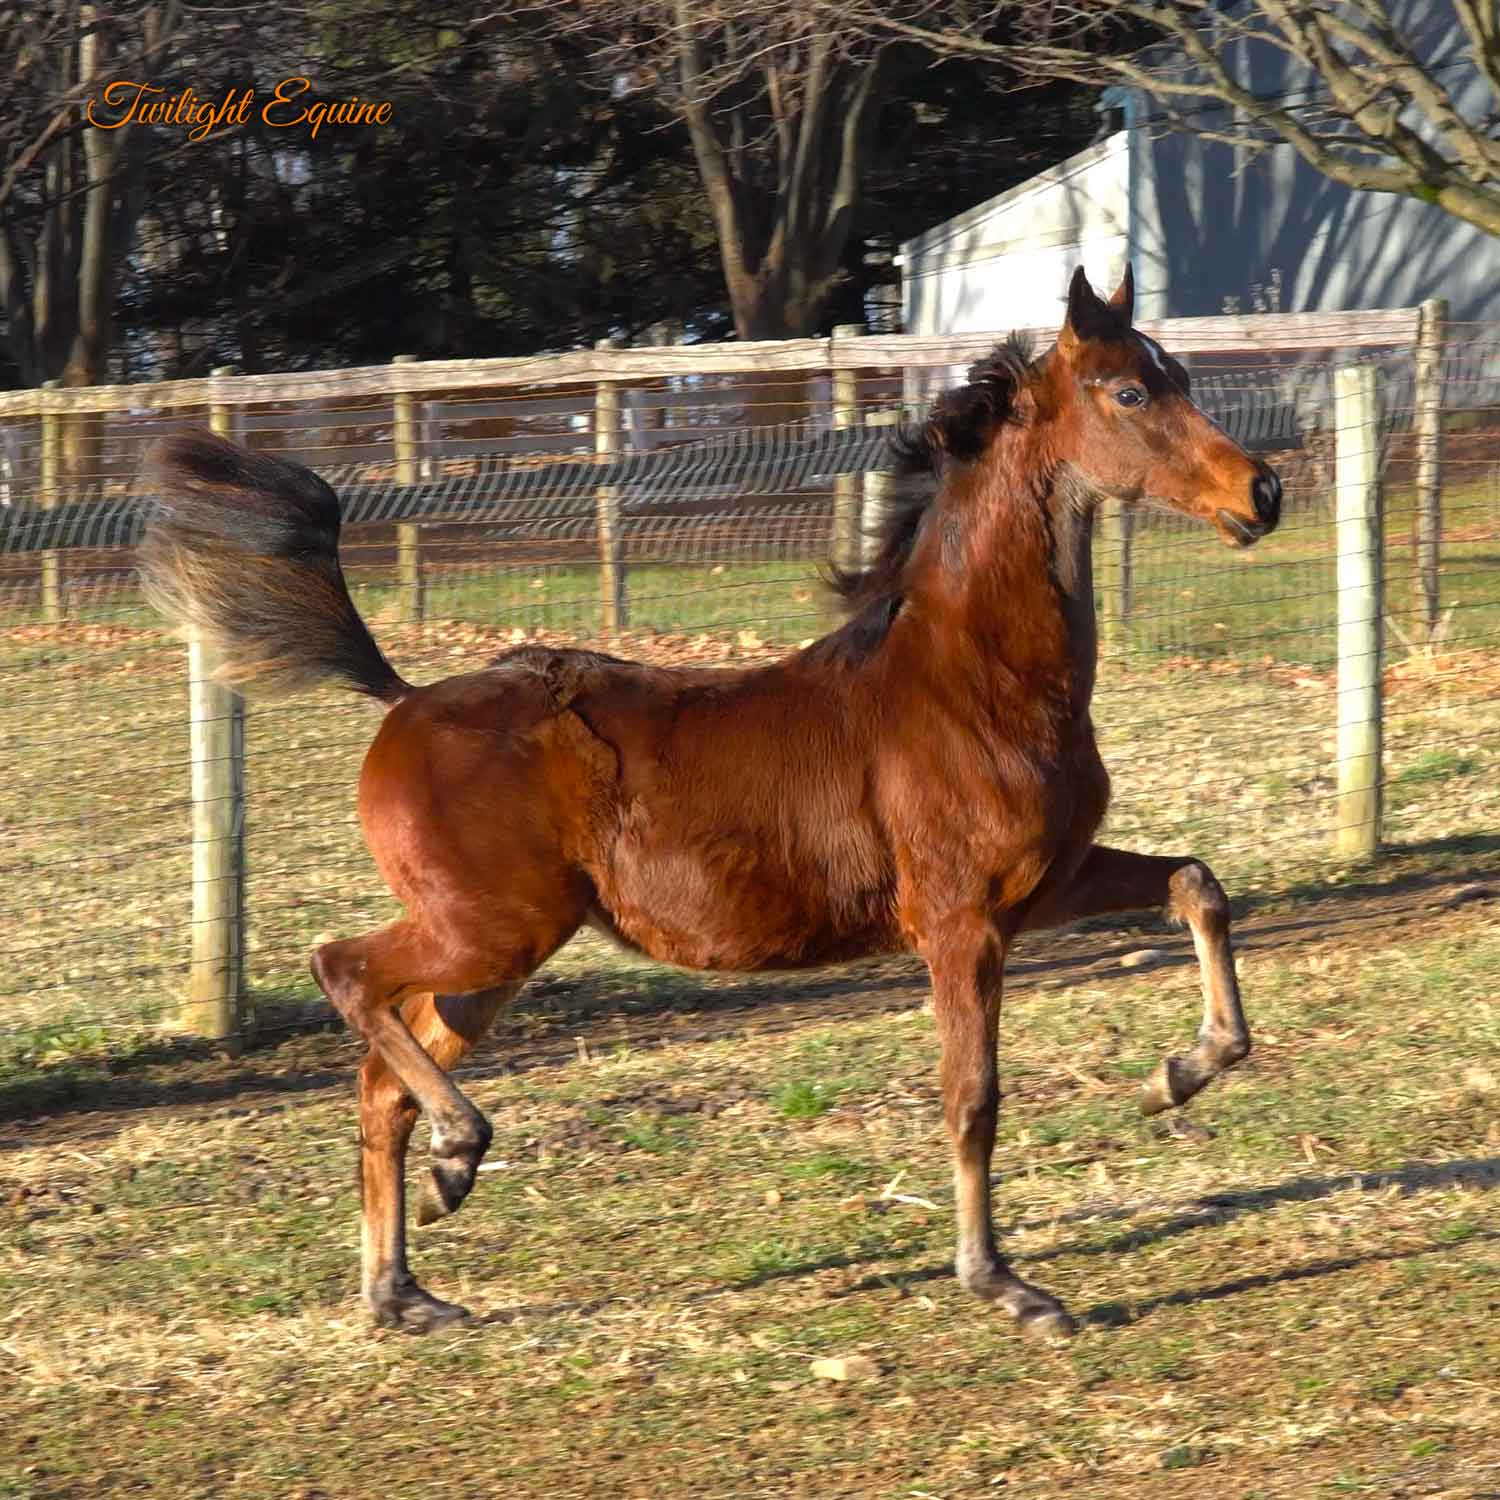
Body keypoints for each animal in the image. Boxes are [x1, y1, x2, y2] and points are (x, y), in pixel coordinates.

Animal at [140, 266, 1281, 1339]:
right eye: (1131, 390)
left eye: (1181, 373)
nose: (1263, 490)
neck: (976, 682)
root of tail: (404, 698)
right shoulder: (962, 923)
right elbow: (972, 1098)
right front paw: (1002, 1284)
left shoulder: (1044, 886)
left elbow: (1198, 885)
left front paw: (1181, 1072)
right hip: (490, 929)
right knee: (343, 970)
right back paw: (461, 1152)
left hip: (491, 958)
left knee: (381, 1082)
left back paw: (406, 1283)